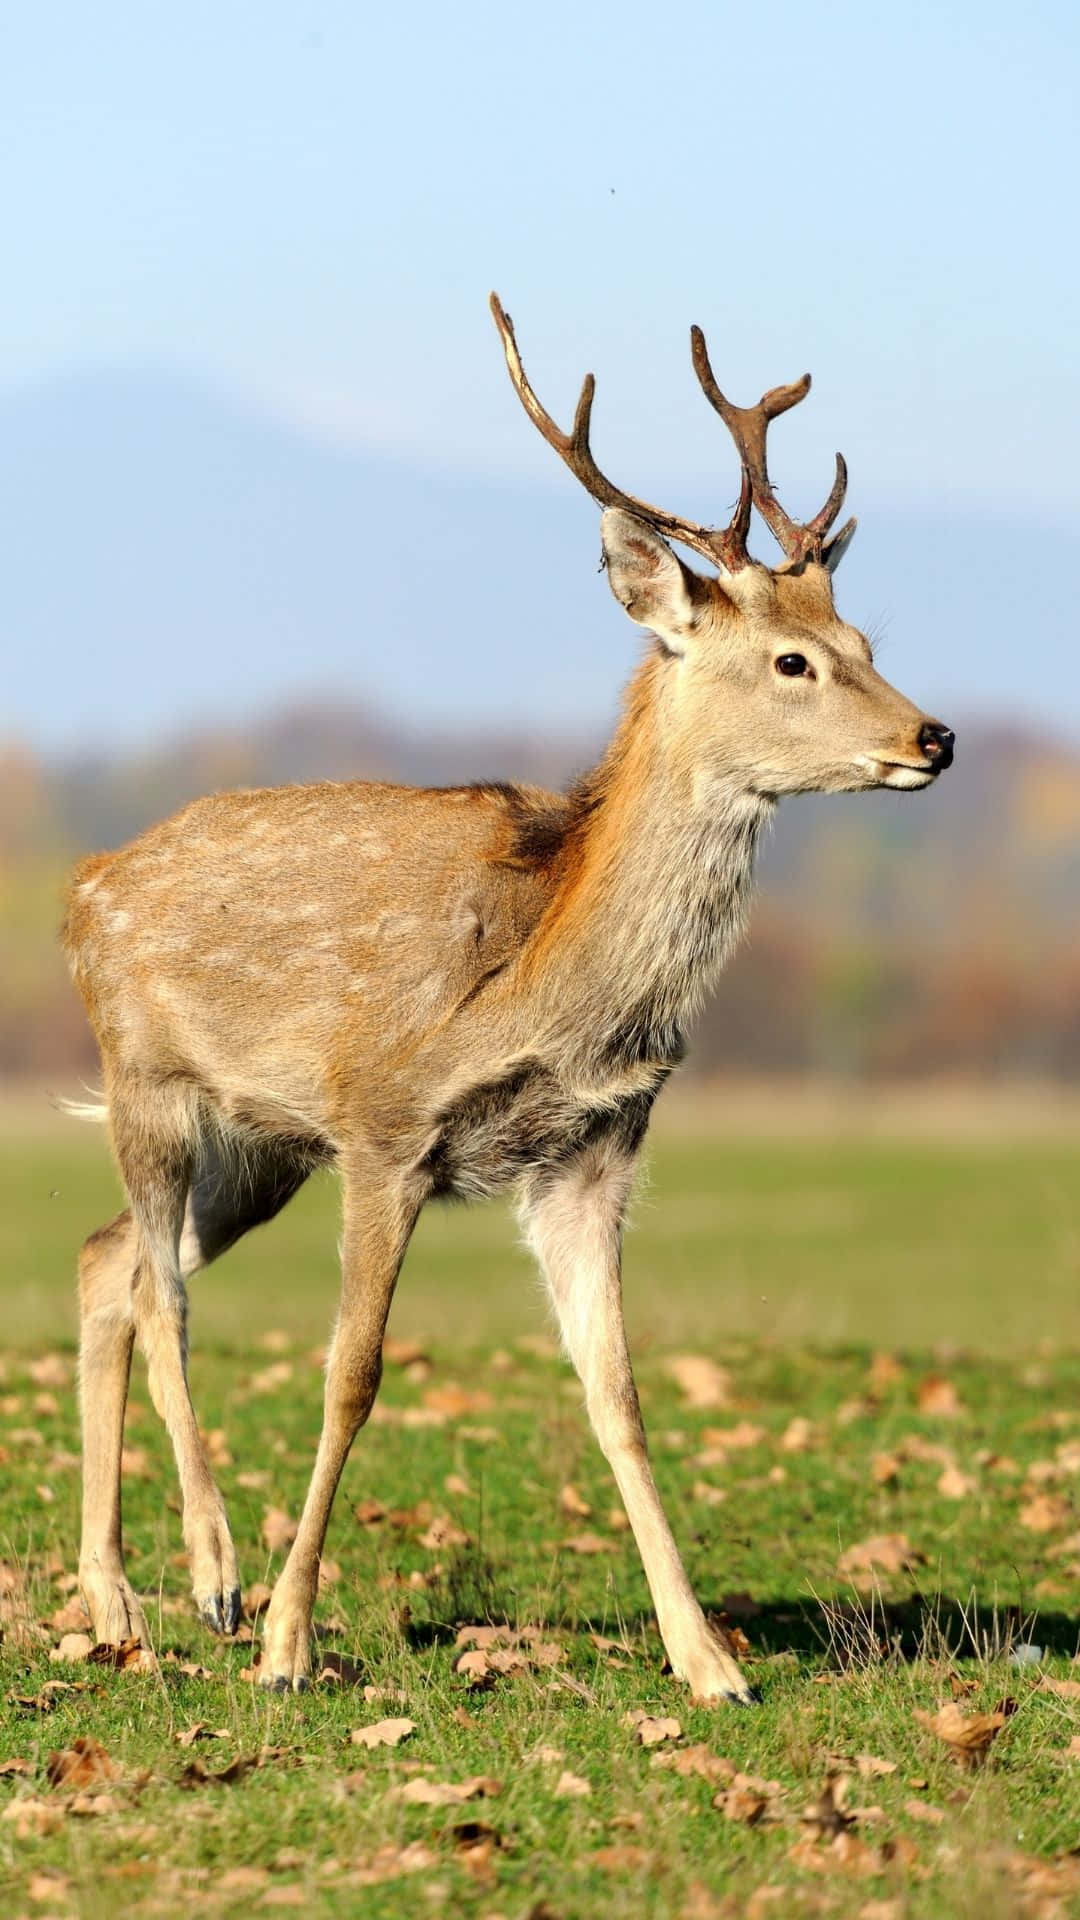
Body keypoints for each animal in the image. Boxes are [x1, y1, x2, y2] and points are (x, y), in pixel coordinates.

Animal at [62, 294, 954, 1704]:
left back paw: (113, 1600)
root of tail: (84, 883)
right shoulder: (385, 1126)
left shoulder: (591, 1151)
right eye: (794, 662)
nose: (935, 736)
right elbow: (352, 1374)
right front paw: (290, 1644)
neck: (548, 983)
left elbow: (620, 1395)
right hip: (147, 1081)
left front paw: (709, 1661)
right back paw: (210, 1577)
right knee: (162, 1291)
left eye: (868, 642)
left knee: (107, 1264)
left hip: (261, 1148)